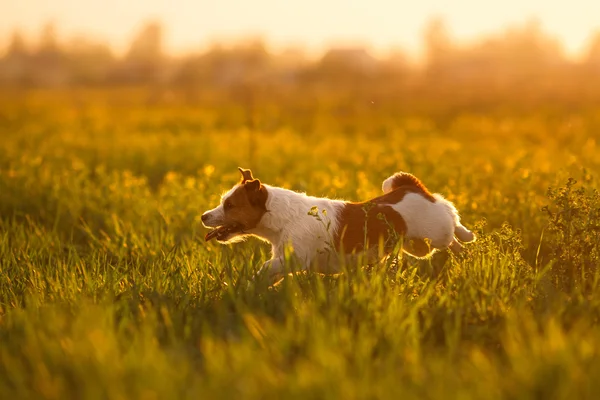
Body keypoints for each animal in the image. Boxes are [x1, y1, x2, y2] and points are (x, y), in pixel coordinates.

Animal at [202, 167, 474, 282]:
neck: (282, 216)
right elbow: (267, 276)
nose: (204, 216)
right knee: (448, 239)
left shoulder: (293, 259)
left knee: (451, 221)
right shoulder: (285, 260)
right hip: (418, 247)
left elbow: (266, 267)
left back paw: (467, 237)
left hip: (435, 232)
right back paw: (463, 250)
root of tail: (411, 187)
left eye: (230, 205)